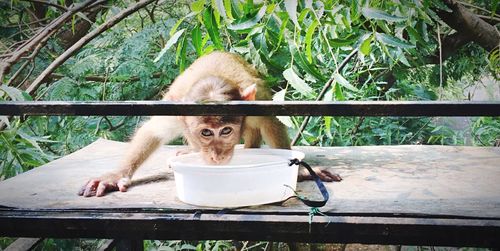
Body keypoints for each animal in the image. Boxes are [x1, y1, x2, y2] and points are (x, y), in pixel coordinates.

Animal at [79, 51, 340, 198]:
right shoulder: (176, 113)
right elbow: (152, 132)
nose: (217, 155)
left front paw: (303, 172)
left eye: (225, 131)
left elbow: (270, 123)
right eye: (206, 132)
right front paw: (115, 176)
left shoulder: (251, 109)